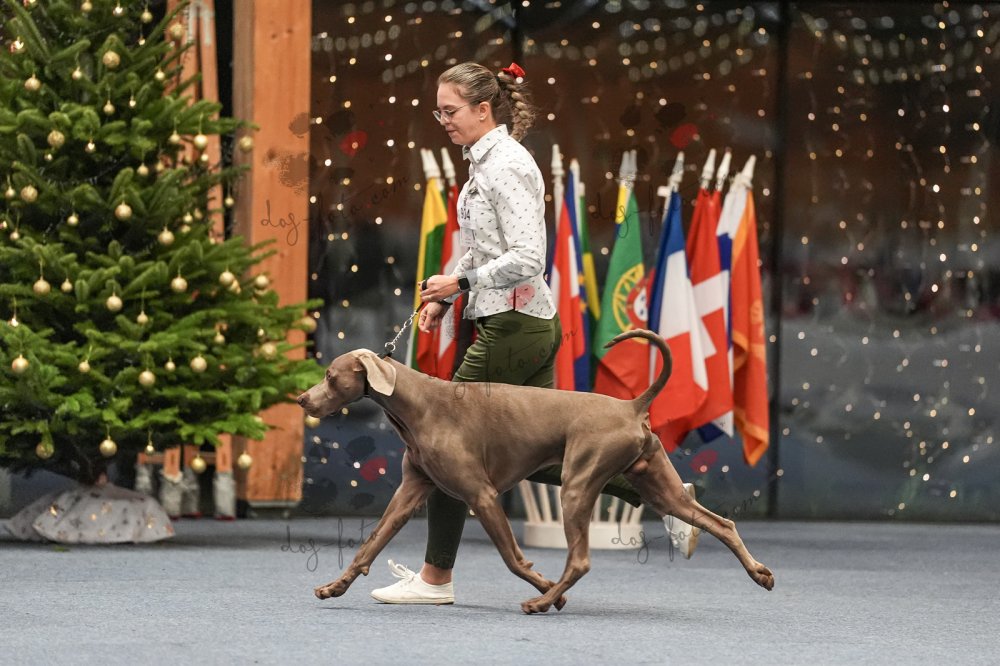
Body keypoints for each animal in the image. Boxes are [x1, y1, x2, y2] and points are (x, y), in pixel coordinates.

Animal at [297, 329, 774, 613]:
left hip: (577, 484)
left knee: (580, 560)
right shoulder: (412, 490)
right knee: (720, 522)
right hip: (657, 486)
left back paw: (543, 601)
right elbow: (369, 545)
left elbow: (512, 557)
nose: (302, 399)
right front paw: (334, 587)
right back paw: (759, 573)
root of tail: (631, 405)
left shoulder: (482, 495)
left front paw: (543, 585)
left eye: (330, 375)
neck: (419, 404)